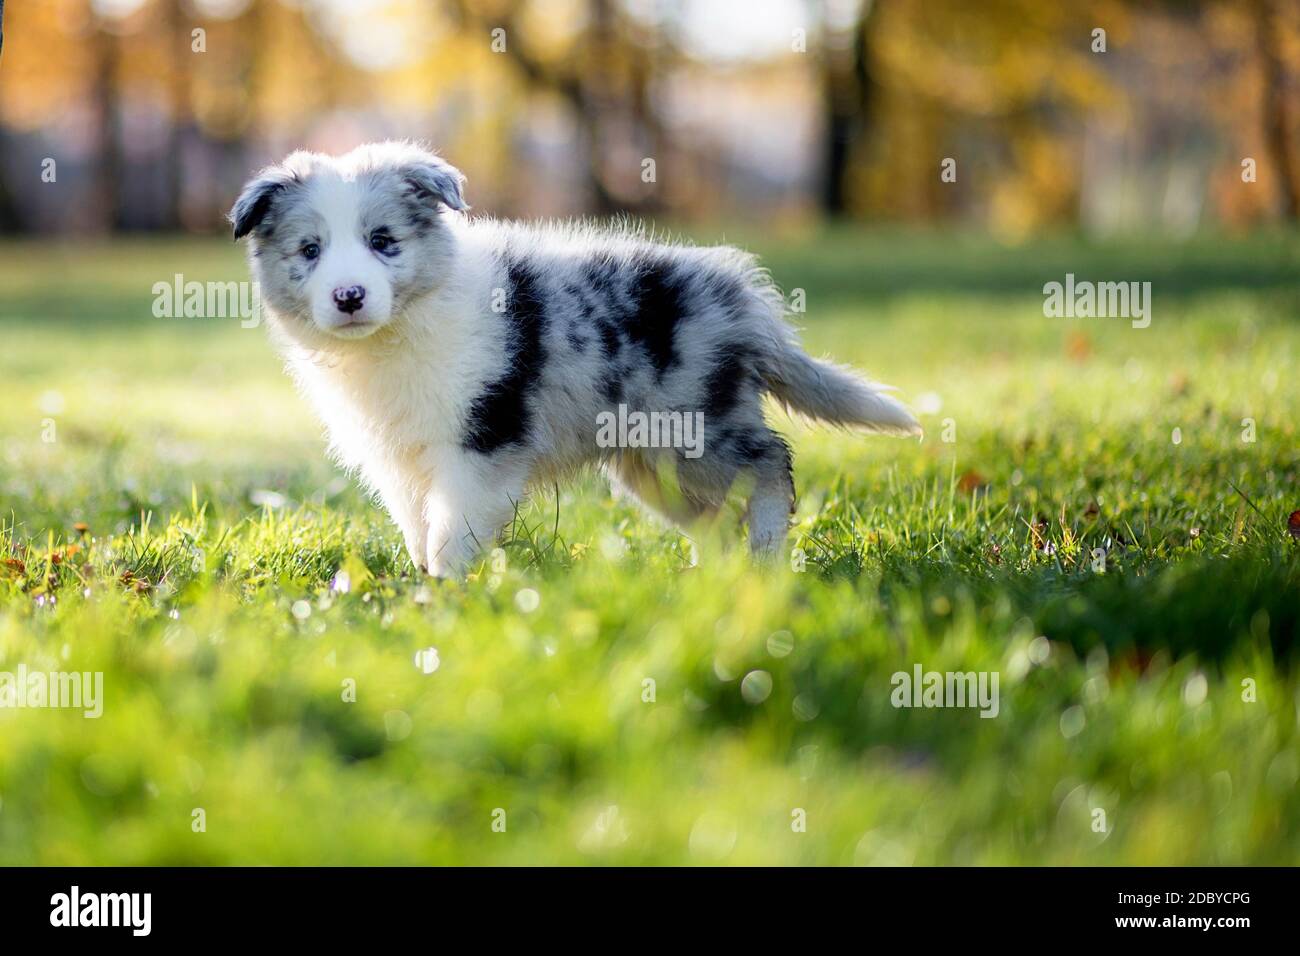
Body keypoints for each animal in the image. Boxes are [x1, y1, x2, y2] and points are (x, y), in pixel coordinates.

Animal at [233, 141, 925, 574]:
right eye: (310, 250)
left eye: (383, 241)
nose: (349, 297)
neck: (393, 337)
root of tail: (741, 296)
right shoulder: (399, 460)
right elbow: (418, 527)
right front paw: (422, 583)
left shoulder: (479, 444)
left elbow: (453, 529)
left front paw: (444, 597)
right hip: (652, 461)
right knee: (717, 513)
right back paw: (715, 579)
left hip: (695, 428)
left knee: (769, 464)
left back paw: (766, 553)